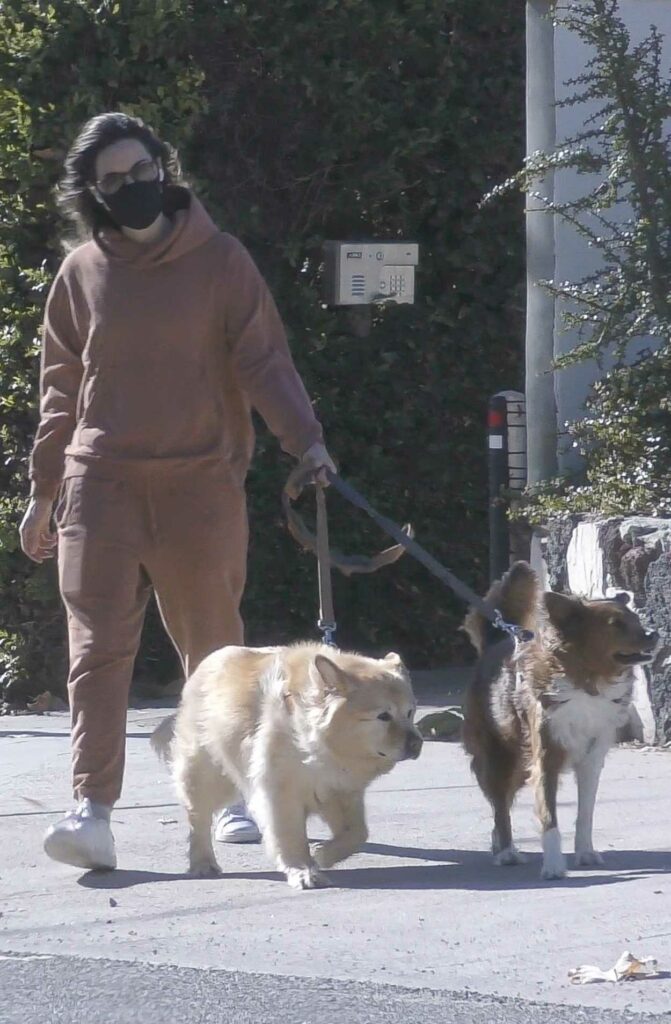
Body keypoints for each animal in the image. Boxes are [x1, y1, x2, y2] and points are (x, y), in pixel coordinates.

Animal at [154, 638, 422, 888]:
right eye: (383, 716)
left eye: (410, 713)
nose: (417, 743)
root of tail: (205, 664)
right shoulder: (280, 793)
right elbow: (290, 836)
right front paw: (303, 870)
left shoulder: (340, 791)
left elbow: (357, 833)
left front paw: (324, 854)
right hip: (208, 776)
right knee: (198, 818)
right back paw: (202, 863)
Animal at [465, 565, 659, 876]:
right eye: (616, 624)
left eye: (636, 620)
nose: (654, 634)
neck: (587, 681)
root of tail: (496, 641)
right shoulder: (546, 757)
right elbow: (549, 816)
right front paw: (555, 865)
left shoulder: (591, 759)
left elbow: (585, 813)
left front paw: (585, 852)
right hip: (501, 755)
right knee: (500, 805)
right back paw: (506, 851)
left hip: (520, 762)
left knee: (502, 803)